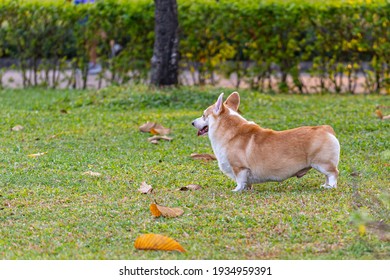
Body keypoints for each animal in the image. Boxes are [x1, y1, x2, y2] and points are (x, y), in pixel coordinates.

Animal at [192, 93, 338, 191]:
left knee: (333, 174)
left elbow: (240, 181)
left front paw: (236, 190)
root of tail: (326, 129)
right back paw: (325, 185)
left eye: (204, 115)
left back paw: (330, 186)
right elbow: (246, 183)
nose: (192, 122)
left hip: (322, 163)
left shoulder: (239, 168)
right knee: (327, 176)